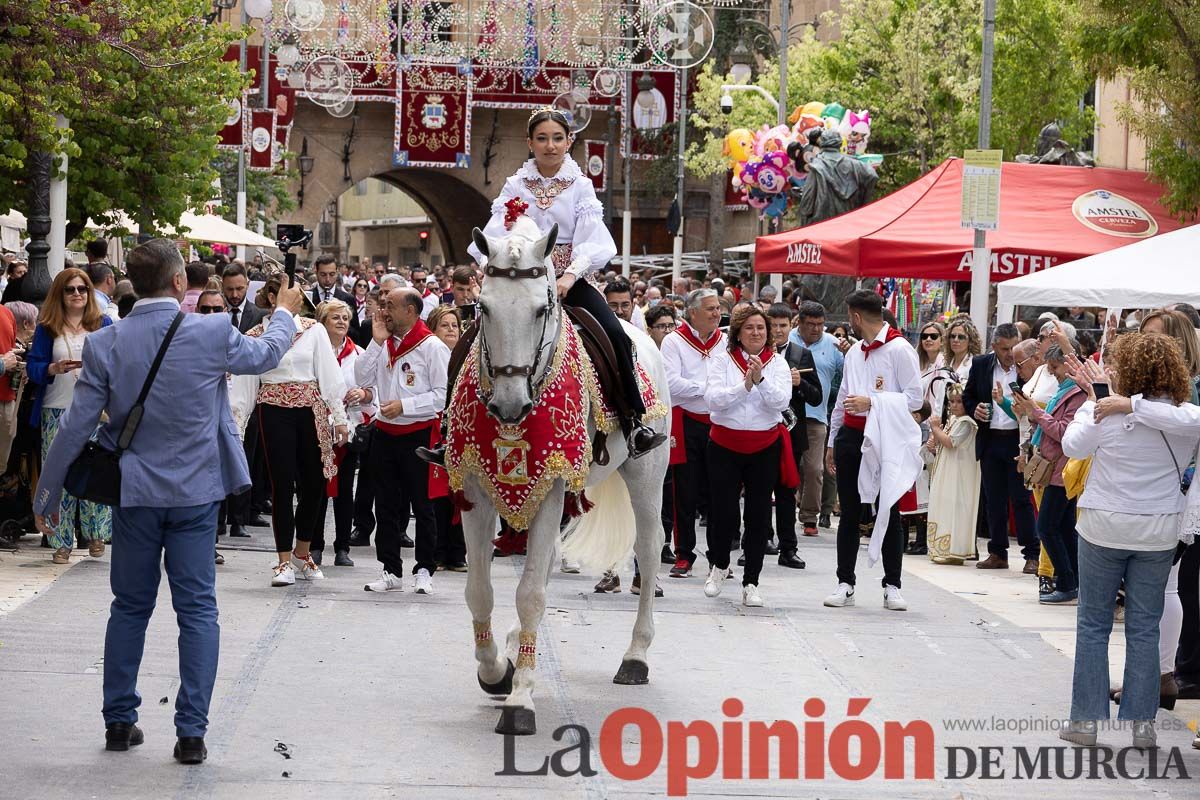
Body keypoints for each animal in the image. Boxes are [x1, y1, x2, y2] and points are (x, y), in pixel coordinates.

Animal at [453, 219, 672, 738]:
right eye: (482, 306)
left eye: (540, 308)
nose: (508, 405)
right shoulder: (475, 489)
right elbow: (480, 590)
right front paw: (497, 671)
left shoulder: (550, 486)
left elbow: (530, 593)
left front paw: (520, 701)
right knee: (548, 558)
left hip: (646, 475)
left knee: (649, 548)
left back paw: (636, 656)